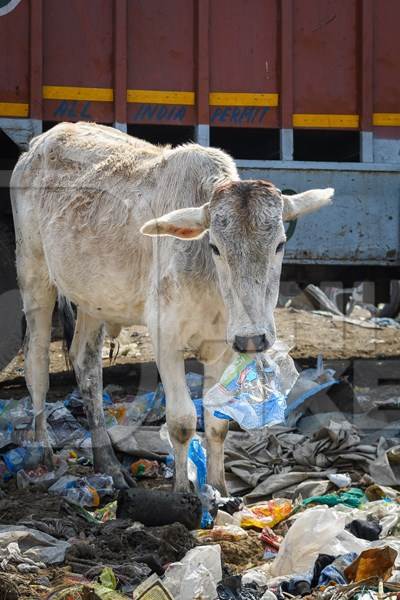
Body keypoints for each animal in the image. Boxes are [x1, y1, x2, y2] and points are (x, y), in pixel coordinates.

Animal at [10, 122, 332, 492]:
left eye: (279, 244)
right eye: (215, 246)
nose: (253, 338)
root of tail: (41, 141)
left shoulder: (224, 346)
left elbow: (217, 423)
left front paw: (219, 490)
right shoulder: (165, 339)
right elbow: (182, 422)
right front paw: (182, 492)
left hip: (93, 299)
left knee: (86, 366)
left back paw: (109, 464)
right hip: (33, 273)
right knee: (36, 363)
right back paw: (42, 453)